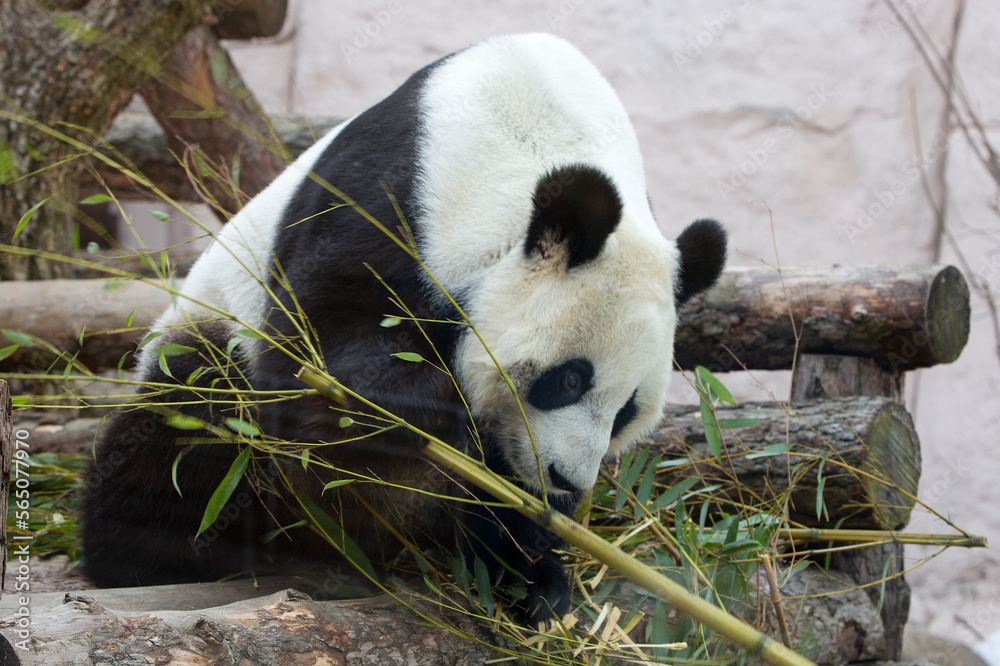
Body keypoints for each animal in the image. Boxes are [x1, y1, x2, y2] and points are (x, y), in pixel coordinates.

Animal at [82, 33, 726, 624]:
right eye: (569, 380)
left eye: (626, 413)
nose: (566, 480)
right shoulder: (391, 194)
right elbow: (317, 347)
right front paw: (415, 418)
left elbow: (496, 484)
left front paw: (529, 568)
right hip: (212, 328)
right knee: (189, 423)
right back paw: (159, 551)